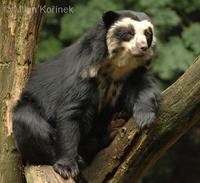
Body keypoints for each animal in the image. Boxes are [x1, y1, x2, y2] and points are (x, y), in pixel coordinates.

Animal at [12, 9, 161, 179]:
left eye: (148, 34)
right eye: (129, 33)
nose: (143, 47)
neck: (116, 66)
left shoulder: (133, 74)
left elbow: (144, 89)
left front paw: (145, 118)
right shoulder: (83, 72)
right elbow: (71, 114)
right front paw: (67, 167)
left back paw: (115, 124)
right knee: (28, 120)